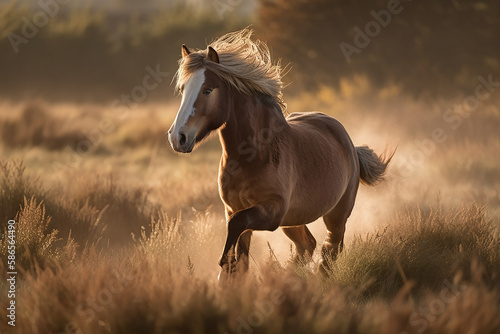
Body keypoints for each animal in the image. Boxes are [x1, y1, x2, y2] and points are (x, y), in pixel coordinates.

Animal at [168, 29, 394, 280]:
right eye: (183, 90)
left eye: (207, 90)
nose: (178, 137)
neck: (252, 155)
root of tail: (349, 144)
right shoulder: (234, 208)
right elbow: (241, 257)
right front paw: (229, 275)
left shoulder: (272, 210)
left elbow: (236, 228)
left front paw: (224, 263)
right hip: (293, 219)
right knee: (308, 245)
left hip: (335, 214)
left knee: (331, 248)